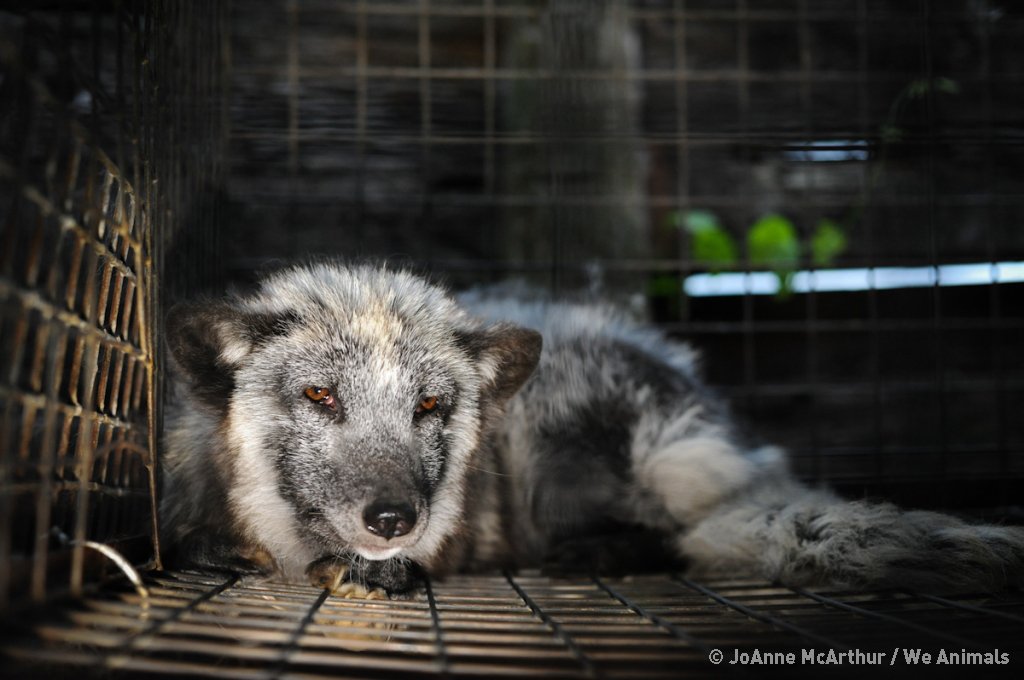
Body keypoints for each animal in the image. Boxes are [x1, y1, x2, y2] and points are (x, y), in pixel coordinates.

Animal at [162, 261, 1024, 594]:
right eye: (320, 395)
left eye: (430, 406)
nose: (392, 518)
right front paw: (221, 549)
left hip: (558, 450)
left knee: (675, 539)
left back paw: (595, 553)